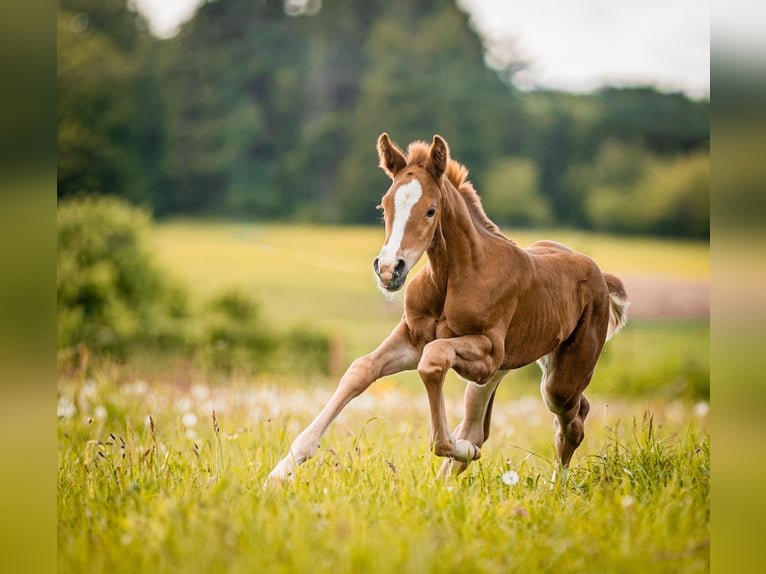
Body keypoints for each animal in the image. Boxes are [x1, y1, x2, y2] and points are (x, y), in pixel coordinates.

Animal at [266, 133, 629, 485]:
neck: (453, 276)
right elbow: (361, 370)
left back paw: (555, 489)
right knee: (480, 425)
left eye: (430, 210)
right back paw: (447, 482)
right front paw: (281, 472)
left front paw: (458, 447)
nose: (389, 269)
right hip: (506, 369)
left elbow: (434, 360)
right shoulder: (414, 338)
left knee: (572, 421)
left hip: (558, 380)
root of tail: (600, 276)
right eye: (384, 207)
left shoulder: (487, 353)